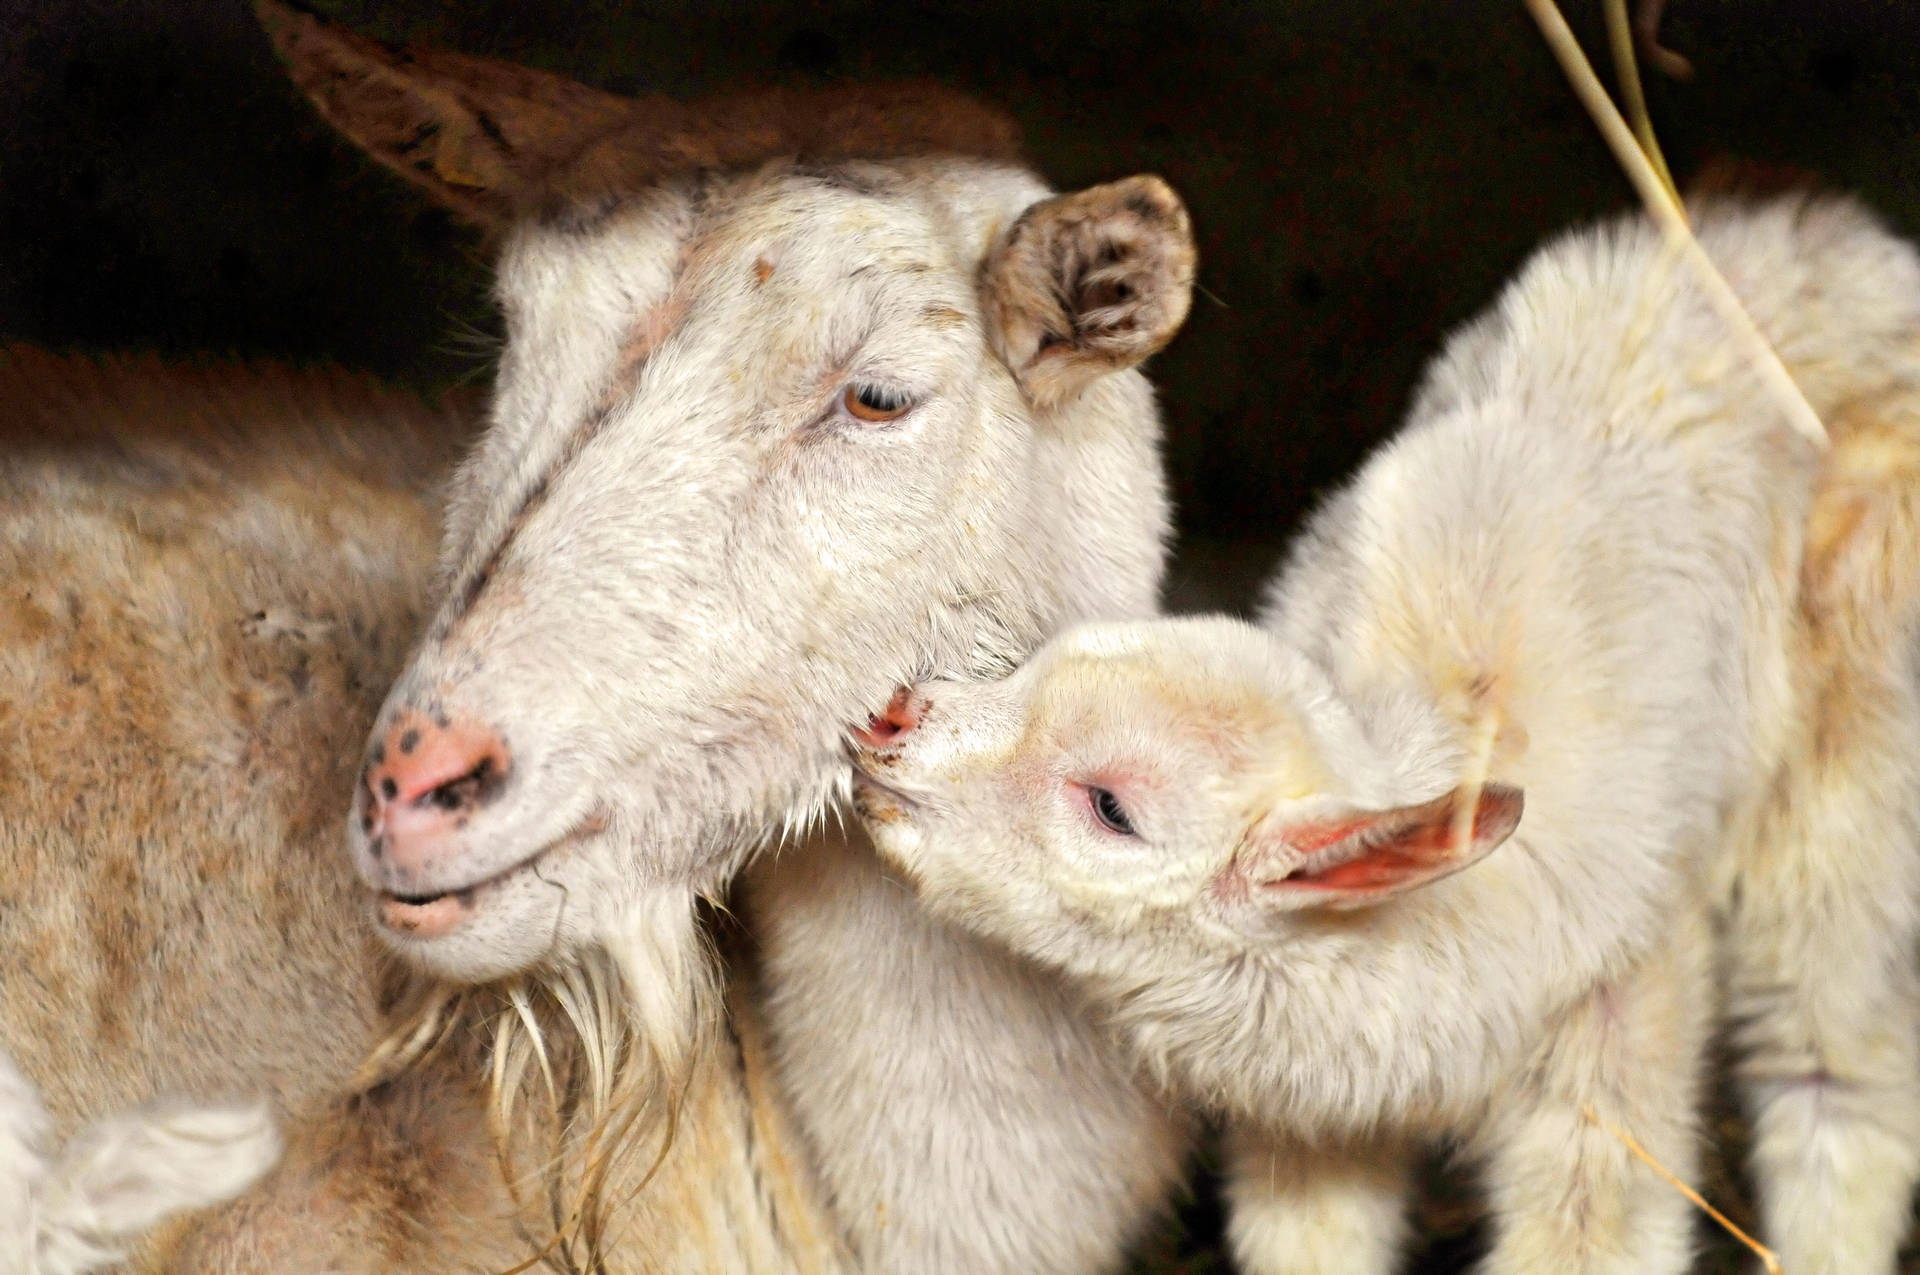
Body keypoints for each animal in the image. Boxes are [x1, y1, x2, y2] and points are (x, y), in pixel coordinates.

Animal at [848, 192, 1920, 1275]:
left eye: (1112, 808)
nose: (891, 721)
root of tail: (1841, 245)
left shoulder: (1617, 1039)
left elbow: (1595, 1231)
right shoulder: (1310, 1131)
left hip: (1862, 747)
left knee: (1834, 1063)